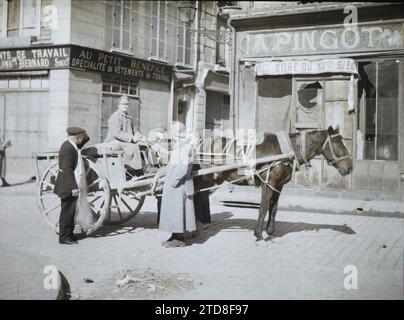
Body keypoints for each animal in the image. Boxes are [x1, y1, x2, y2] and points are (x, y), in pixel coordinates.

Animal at [194, 126, 352, 241]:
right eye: (338, 144)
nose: (349, 167)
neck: (284, 152)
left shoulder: (278, 185)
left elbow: (273, 208)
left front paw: (270, 231)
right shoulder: (268, 183)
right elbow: (263, 207)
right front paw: (258, 234)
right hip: (207, 179)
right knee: (197, 198)